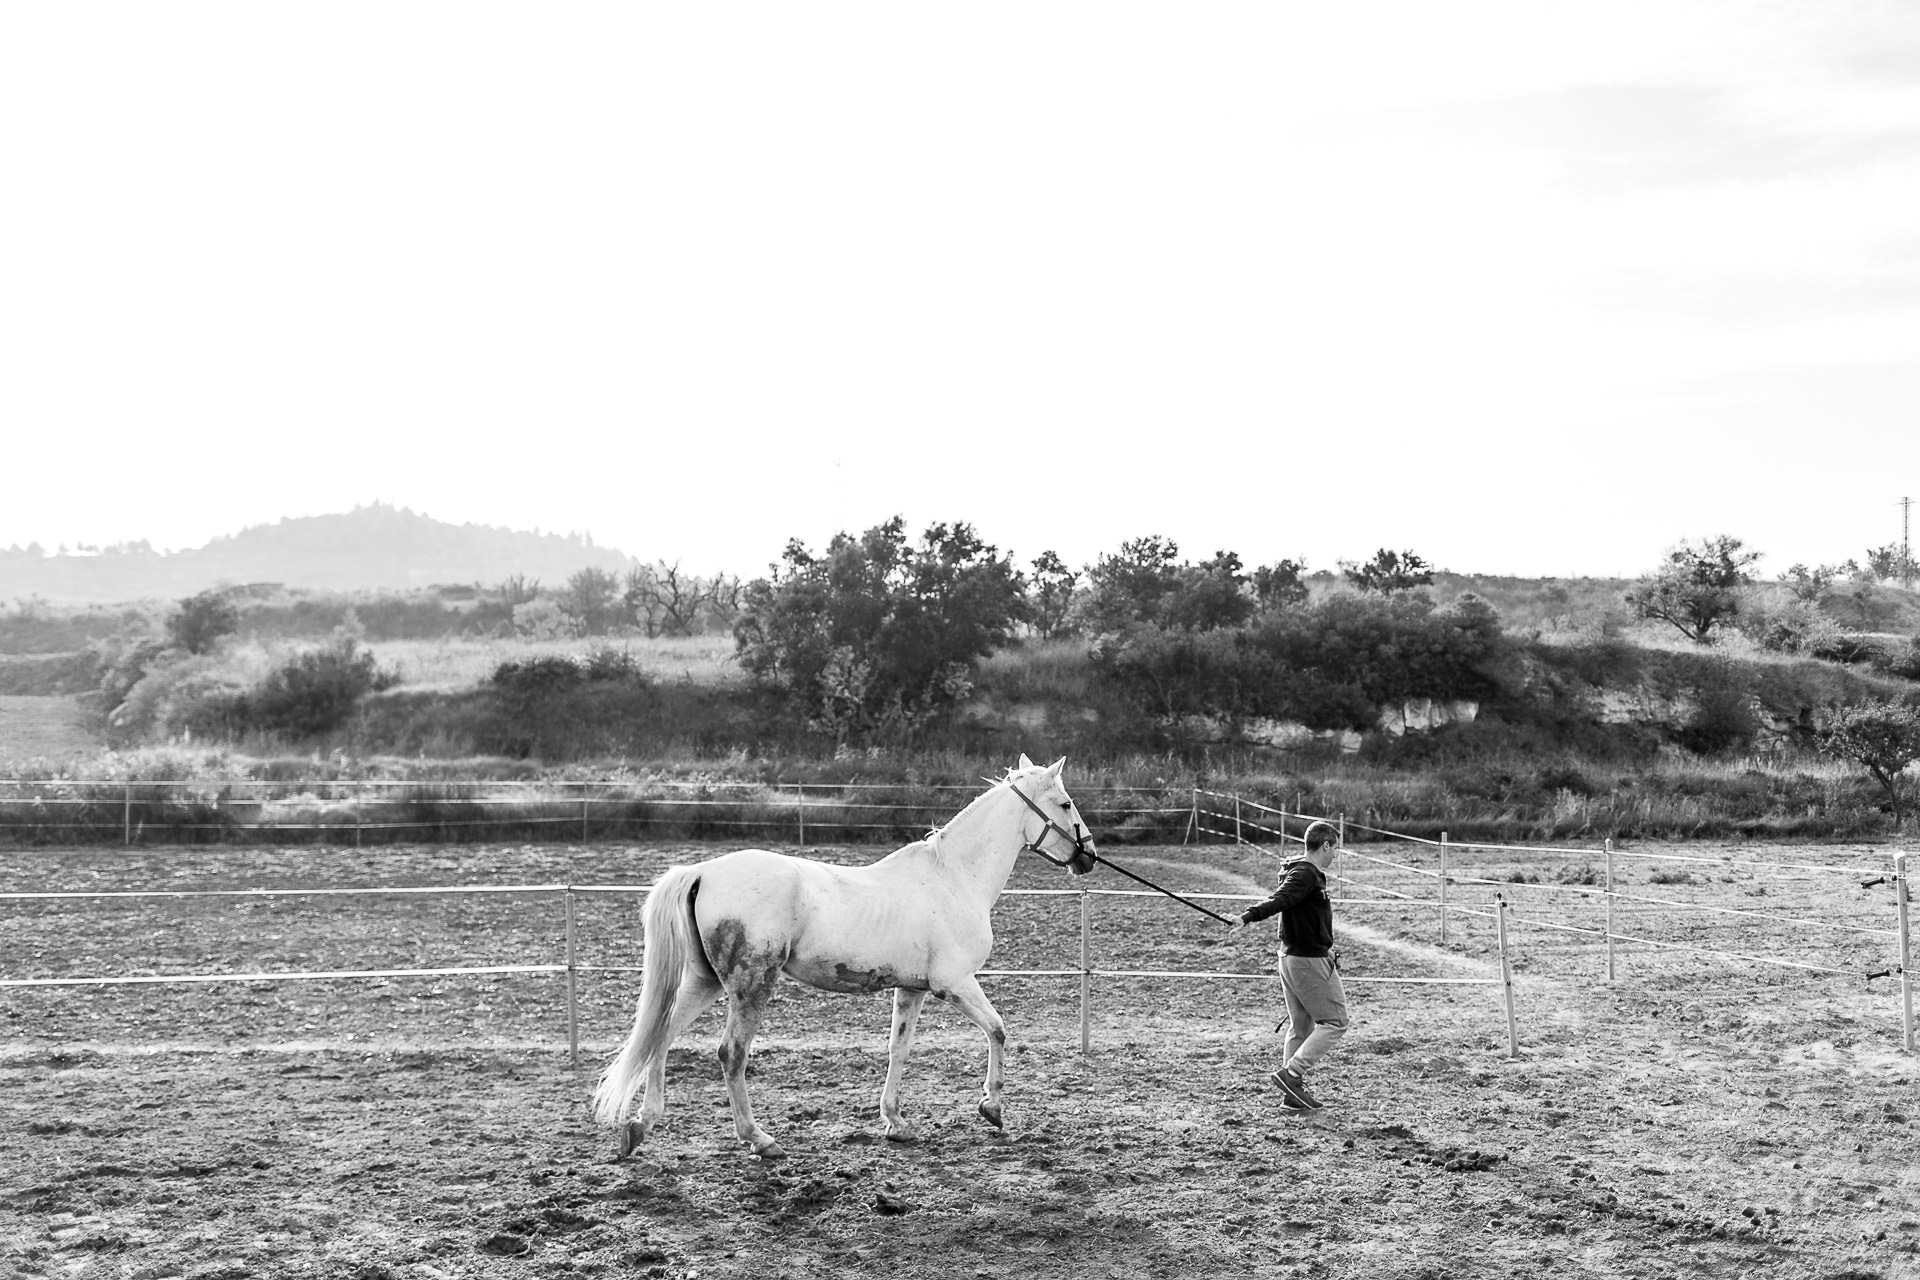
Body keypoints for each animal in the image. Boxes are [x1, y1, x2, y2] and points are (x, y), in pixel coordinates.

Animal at [583, 756, 1098, 1166]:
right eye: (1065, 804)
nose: (1089, 856)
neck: (954, 877)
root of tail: (703, 871)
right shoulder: (954, 983)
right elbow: (997, 1029)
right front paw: (991, 1108)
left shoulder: (911, 989)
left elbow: (898, 1048)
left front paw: (895, 1122)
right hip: (750, 985)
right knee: (731, 1053)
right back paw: (760, 1140)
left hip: (705, 981)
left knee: (661, 1035)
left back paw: (640, 1126)